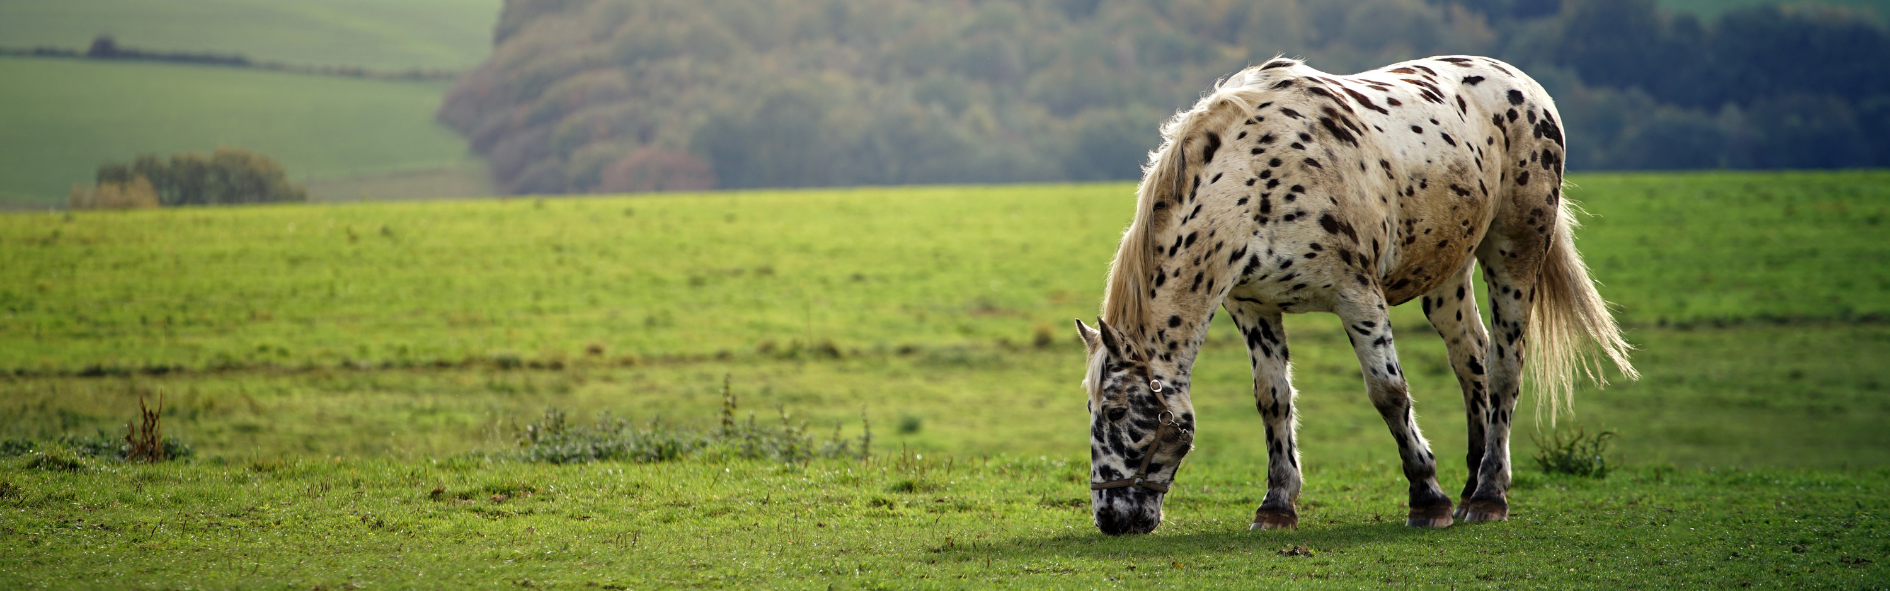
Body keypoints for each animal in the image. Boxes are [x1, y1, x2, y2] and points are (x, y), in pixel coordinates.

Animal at [1075, 55, 1637, 535]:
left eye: (1116, 413)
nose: (1110, 518)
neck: (1255, 182)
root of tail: (1529, 88)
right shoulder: (1254, 307)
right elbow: (1272, 400)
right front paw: (1277, 506)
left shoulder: (1357, 296)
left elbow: (1388, 393)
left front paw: (1426, 498)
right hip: (1447, 274)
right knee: (1471, 359)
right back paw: (1469, 484)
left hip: (1513, 253)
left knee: (1504, 367)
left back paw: (1487, 495)